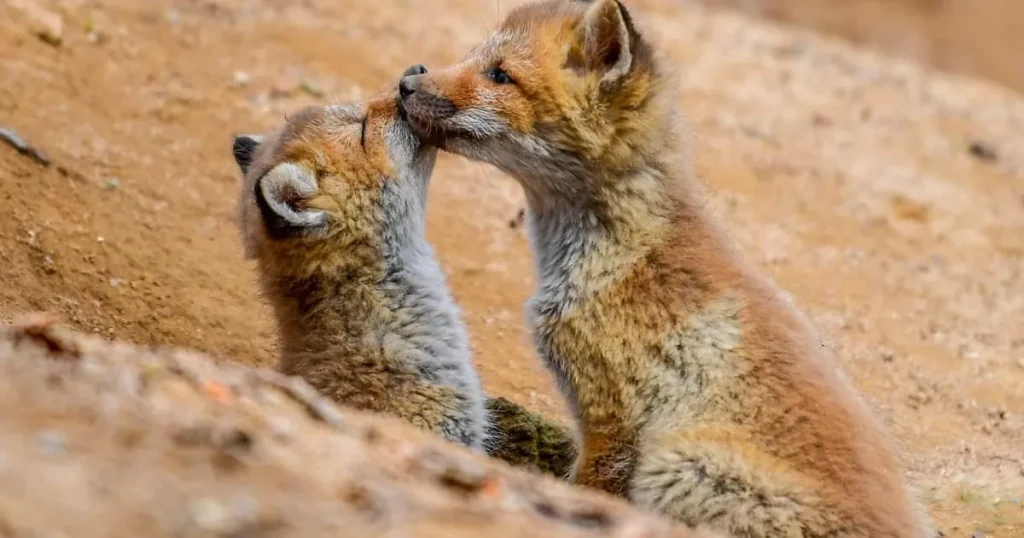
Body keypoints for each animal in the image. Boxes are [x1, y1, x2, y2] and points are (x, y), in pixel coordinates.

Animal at [396, 1, 936, 536]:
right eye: (474, 57)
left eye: (499, 75)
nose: (407, 82)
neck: (618, 256)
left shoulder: (611, 418)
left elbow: (586, 487)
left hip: (674, 465)